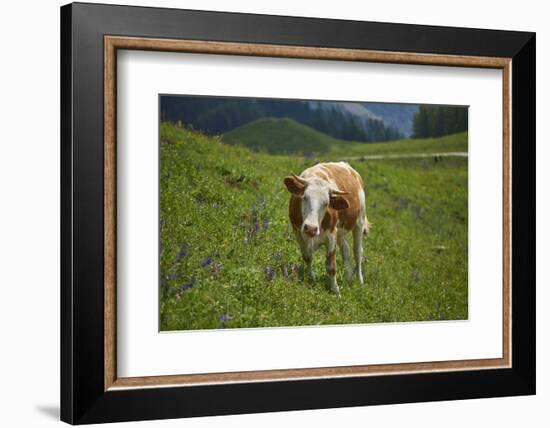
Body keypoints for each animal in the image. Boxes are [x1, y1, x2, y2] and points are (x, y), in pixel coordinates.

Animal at [284, 161, 370, 294]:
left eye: (326, 203)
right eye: (305, 197)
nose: (311, 228)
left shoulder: (331, 235)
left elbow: (331, 266)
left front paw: (335, 290)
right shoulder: (297, 231)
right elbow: (307, 256)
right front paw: (312, 276)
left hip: (359, 221)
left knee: (357, 252)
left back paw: (359, 280)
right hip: (341, 231)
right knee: (345, 249)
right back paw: (349, 276)